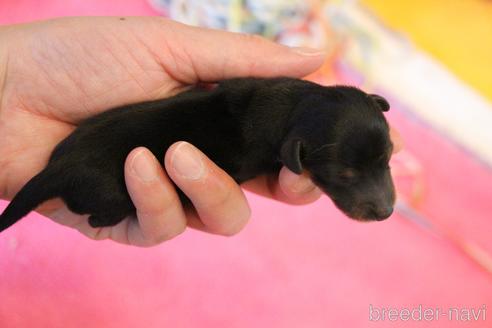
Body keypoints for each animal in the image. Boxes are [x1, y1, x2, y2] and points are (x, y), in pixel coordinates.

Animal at [0, 77, 394, 232]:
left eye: (388, 158)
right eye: (344, 176)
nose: (388, 213)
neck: (295, 106)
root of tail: (59, 167)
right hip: (109, 196)